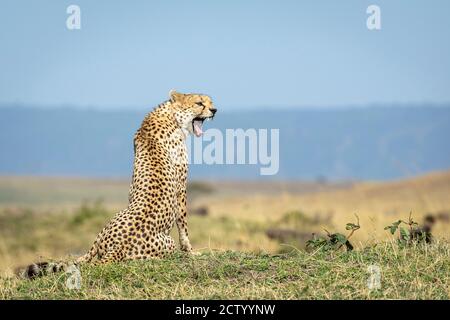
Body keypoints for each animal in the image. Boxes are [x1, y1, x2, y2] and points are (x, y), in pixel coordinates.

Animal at [22, 90, 217, 278]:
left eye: (210, 102)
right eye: (199, 103)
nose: (214, 110)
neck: (171, 116)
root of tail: (117, 248)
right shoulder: (181, 188)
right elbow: (183, 224)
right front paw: (190, 251)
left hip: (104, 230)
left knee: (87, 256)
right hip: (168, 243)